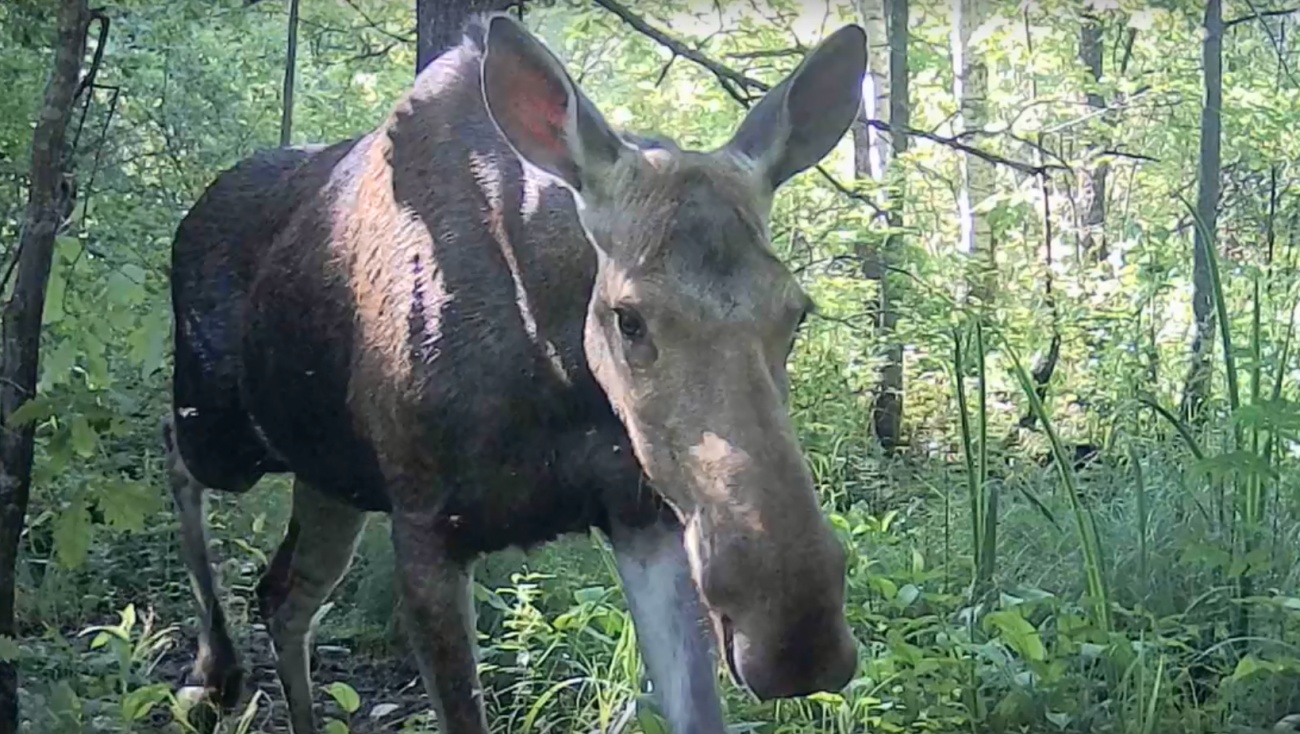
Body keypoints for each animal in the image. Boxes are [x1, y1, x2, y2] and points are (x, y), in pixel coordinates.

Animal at [167, 12, 868, 732]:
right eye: (629, 318)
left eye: (798, 311)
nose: (798, 637)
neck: (553, 368)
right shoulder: (424, 526)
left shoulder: (642, 516)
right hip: (223, 430)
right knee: (177, 461)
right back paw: (211, 671)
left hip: (332, 476)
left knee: (286, 594)